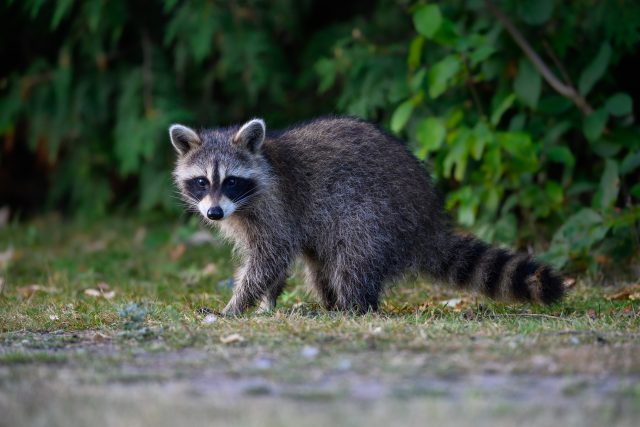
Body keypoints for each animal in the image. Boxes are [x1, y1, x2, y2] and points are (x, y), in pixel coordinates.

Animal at [170, 115, 564, 316]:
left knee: (353, 259)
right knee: (321, 265)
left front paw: (237, 304)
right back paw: (331, 303)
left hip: (376, 215)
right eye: (202, 182)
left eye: (231, 181)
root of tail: (429, 222)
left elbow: (270, 257)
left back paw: (351, 307)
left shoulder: (276, 207)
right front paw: (268, 301)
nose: (214, 213)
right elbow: (276, 262)